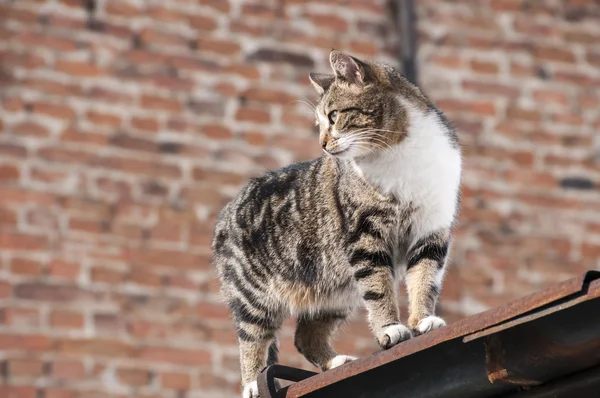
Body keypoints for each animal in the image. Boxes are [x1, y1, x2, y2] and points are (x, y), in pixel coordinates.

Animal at [213, 50, 462, 398]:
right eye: (318, 123)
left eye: (333, 116)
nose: (322, 144)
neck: (400, 152)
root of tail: (227, 209)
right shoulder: (365, 236)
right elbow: (379, 289)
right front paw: (390, 328)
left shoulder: (431, 231)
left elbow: (424, 280)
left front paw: (423, 321)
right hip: (255, 294)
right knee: (252, 338)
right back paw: (252, 383)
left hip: (335, 288)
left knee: (304, 336)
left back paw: (336, 362)